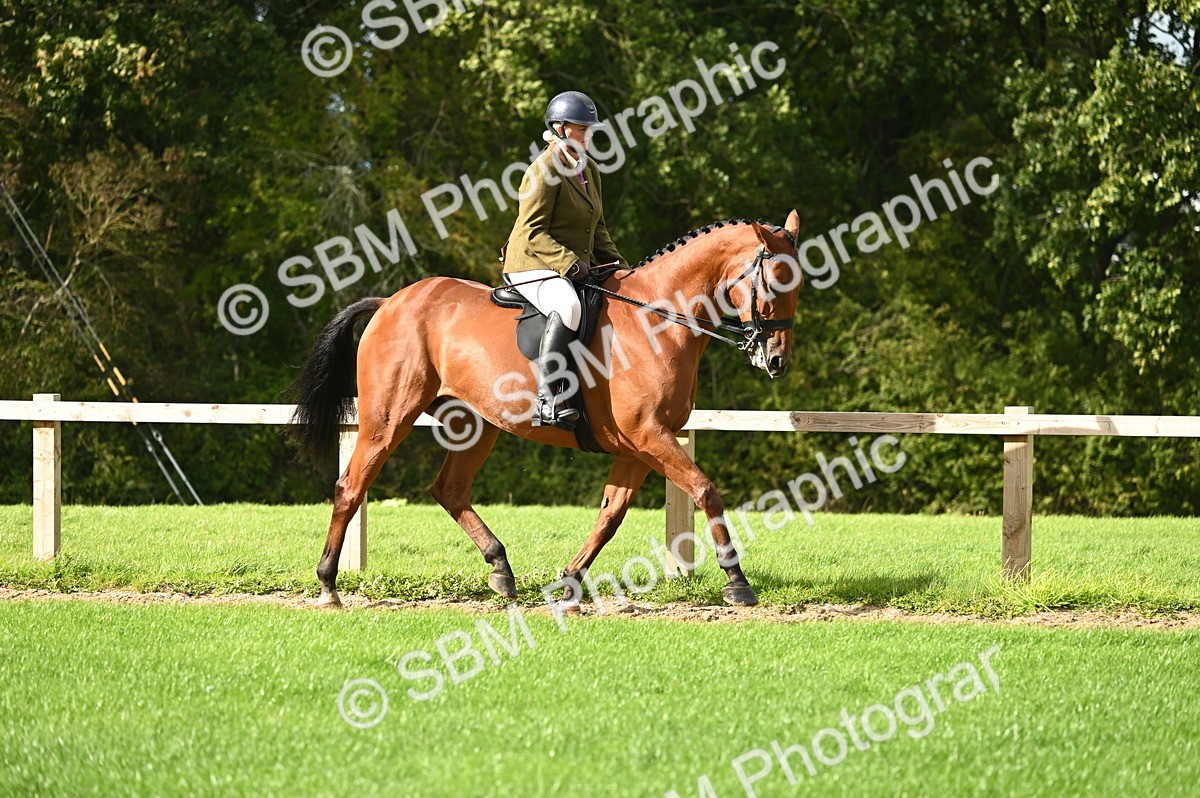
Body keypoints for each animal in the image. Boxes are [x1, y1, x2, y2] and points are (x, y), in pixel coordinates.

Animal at [286, 211, 804, 609]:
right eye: (773, 284)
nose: (776, 361)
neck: (657, 319)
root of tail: (391, 301)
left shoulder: (638, 447)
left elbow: (610, 515)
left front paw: (569, 581)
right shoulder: (650, 436)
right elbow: (706, 491)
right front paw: (738, 583)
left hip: (475, 424)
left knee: (448, 489)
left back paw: (501, 570)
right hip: (389, 416)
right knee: (351, 487)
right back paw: (329, 585)